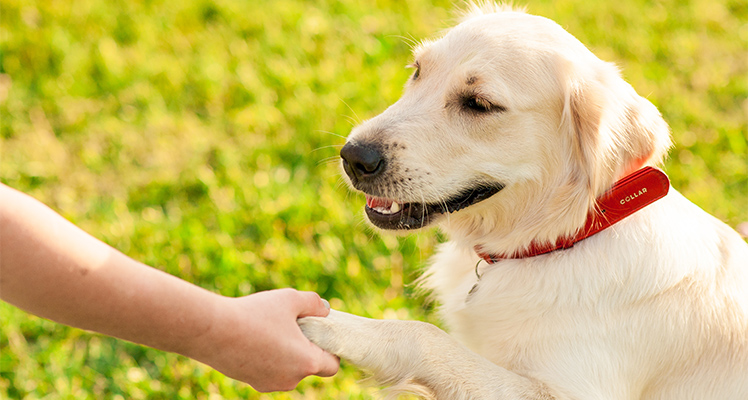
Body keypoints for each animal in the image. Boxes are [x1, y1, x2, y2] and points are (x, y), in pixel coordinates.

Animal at [298, 3, 748, 400]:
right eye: (418, 71)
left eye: (479, 104)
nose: (354, 157)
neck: (558, 240)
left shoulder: (571, 390)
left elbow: (424, 335)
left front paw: (328, 324)